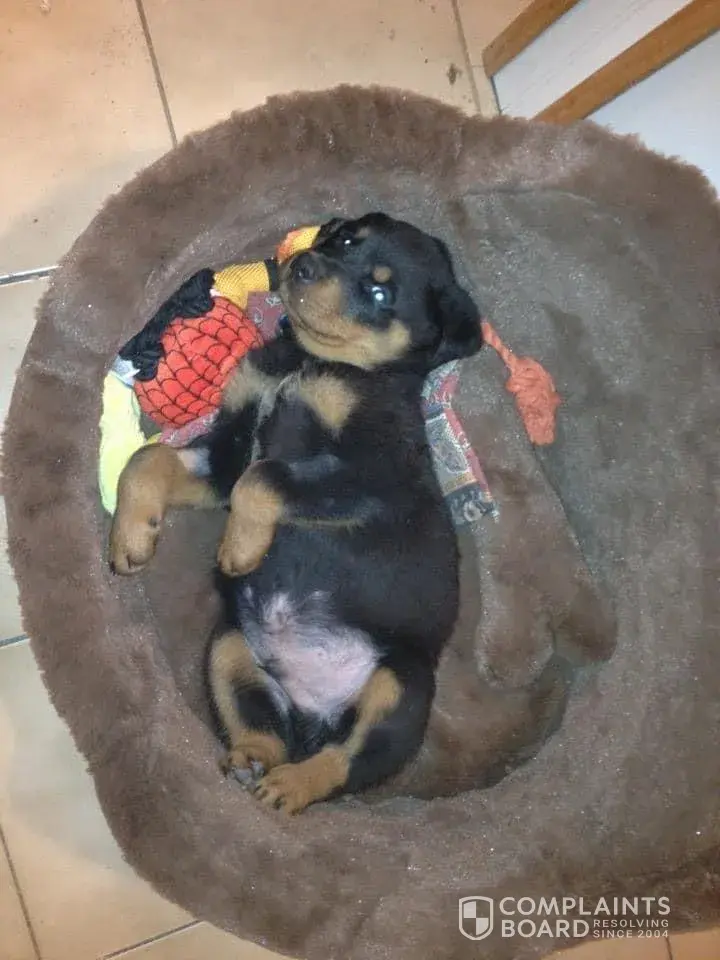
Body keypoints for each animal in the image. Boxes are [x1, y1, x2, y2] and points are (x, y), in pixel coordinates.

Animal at [109, 212, 482, 813]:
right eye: (343, 240)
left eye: (380, 293)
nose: (303, 264)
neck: (310, 360)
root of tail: (316, 710)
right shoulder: (229, 449)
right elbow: (148, 459)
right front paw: (131, 537)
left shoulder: (371, 476)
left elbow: (266, 478)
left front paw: (239, 548)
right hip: (230, 646)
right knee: (266, 730)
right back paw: (254, 762)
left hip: (403, 683)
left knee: (347, 762)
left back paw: (291, 786)